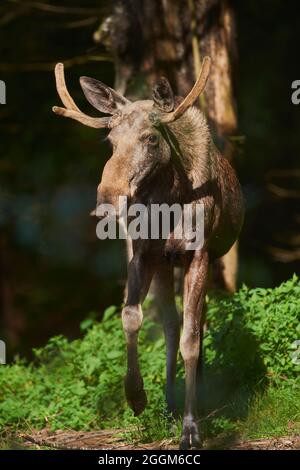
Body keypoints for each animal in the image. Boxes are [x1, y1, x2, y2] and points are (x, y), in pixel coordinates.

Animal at [52, 57, 244, 450]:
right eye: (110, 140)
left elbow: (192, 339)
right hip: (165, 263)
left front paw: (191, 429)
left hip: (204, 259)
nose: (107, 200)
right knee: (171, 324)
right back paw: (169, 403)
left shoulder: (199, 254)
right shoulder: (143, 253)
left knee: (196, 322)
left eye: (151, 137)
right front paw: (136, 396)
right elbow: (131, 317)